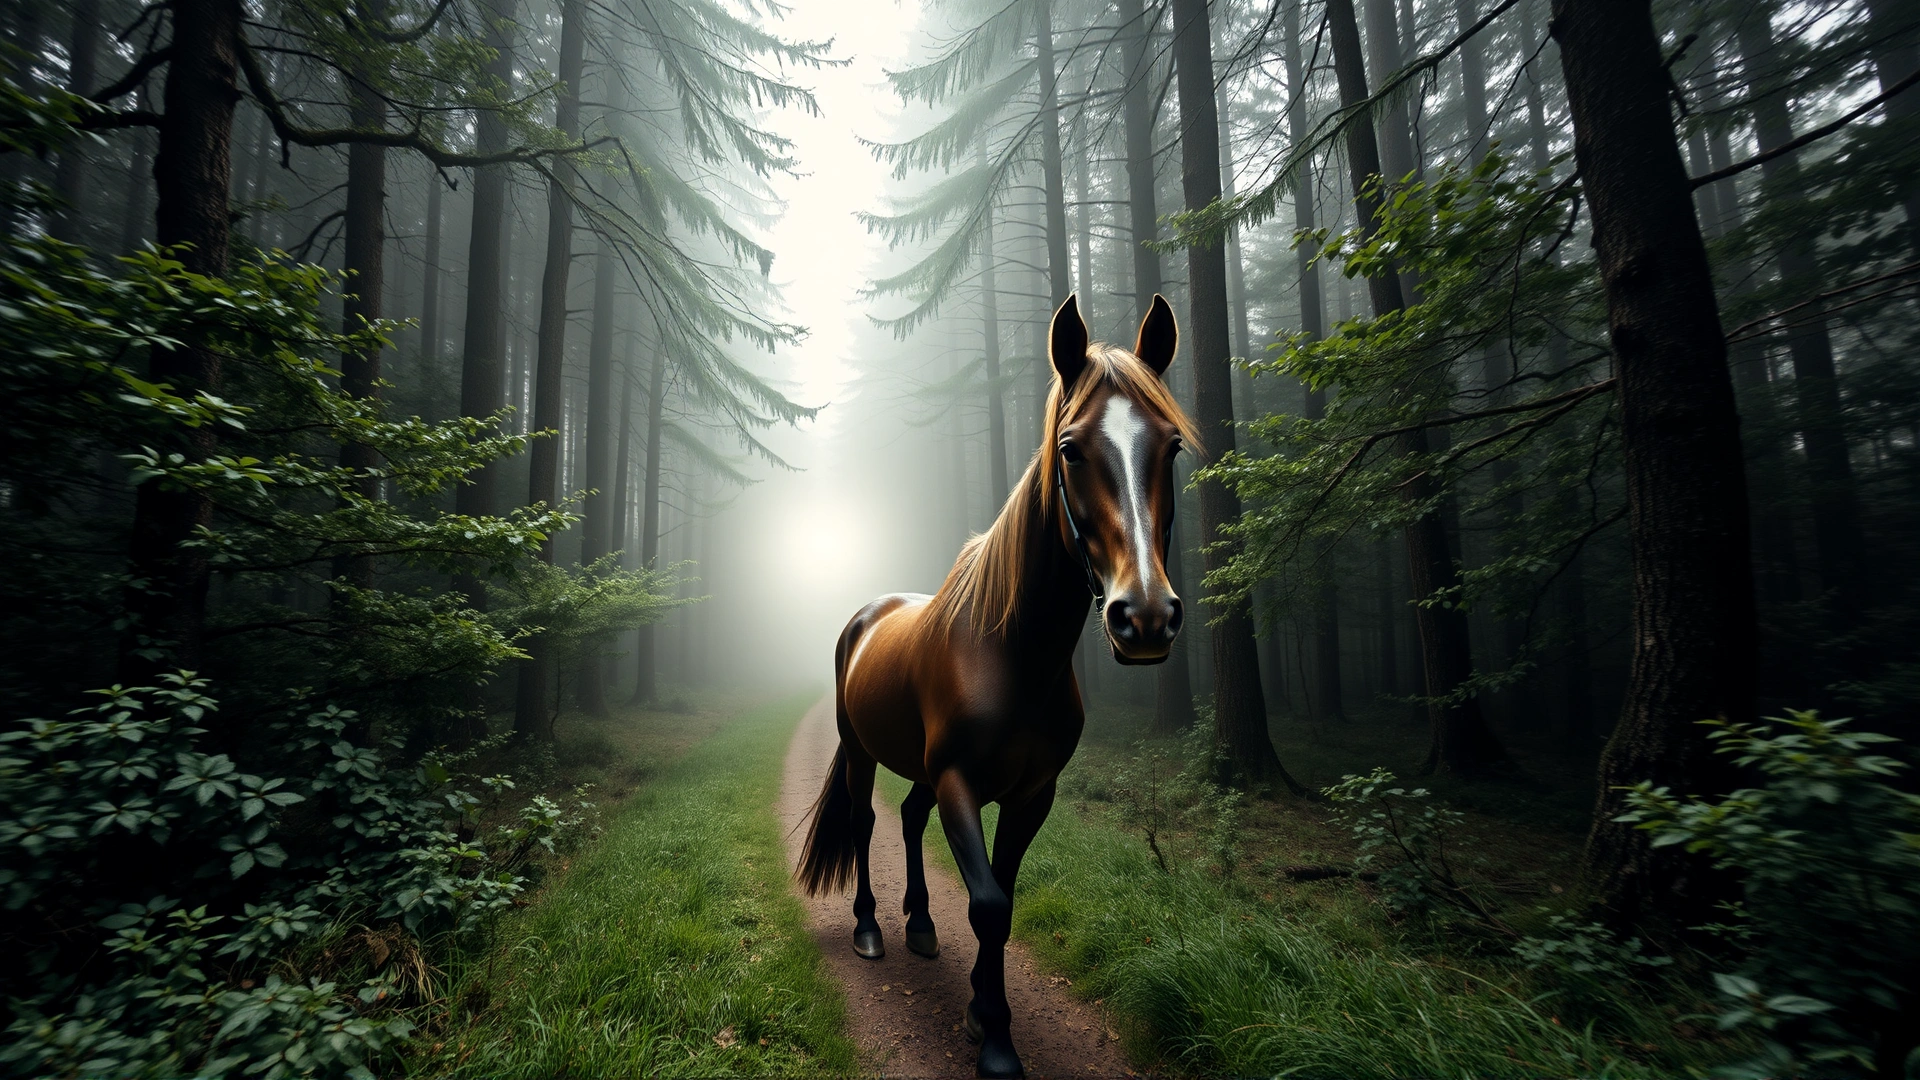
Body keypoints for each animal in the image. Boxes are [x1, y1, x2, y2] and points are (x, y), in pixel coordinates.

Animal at [797, 292, 1200, 1078]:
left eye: (1170, 447)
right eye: (1070, 448)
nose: (1143, 617)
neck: (1013, 656)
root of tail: (866, 614)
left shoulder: (1030, 793)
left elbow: (1004, 898)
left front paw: (984, 1007)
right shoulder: (960, 781)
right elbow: (987, 903)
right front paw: (995, 1038)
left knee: (907, 818)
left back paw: (921, 924)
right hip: (862, 752)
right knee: (864, 822)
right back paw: (870, 929)